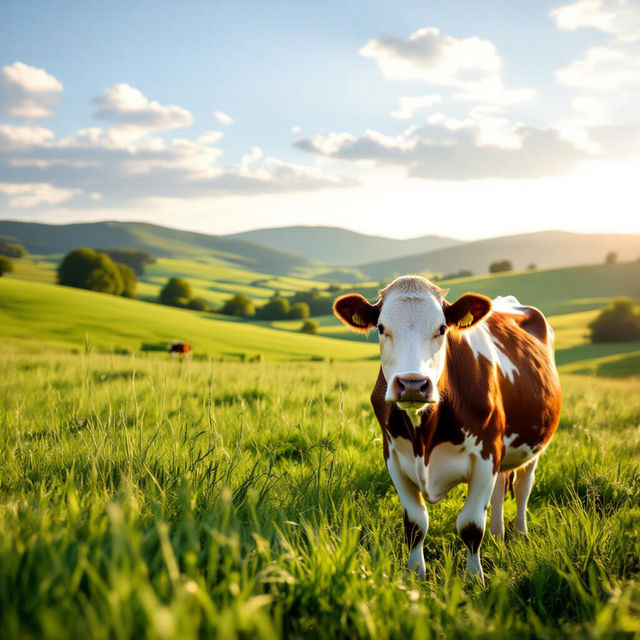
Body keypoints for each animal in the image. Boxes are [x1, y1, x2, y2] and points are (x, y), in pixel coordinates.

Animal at [333, 275, 561, 583]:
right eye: (381, 327)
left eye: (442, 329)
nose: (413, 384)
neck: (424, 438)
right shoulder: (394, 457)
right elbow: (415, 523)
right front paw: (415, 574)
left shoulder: (486, 454)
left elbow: (471, 525)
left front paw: (474, 578)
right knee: (501, 486)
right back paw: (498, 534)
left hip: (532, 444)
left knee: (523, 486)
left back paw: (519, 534)